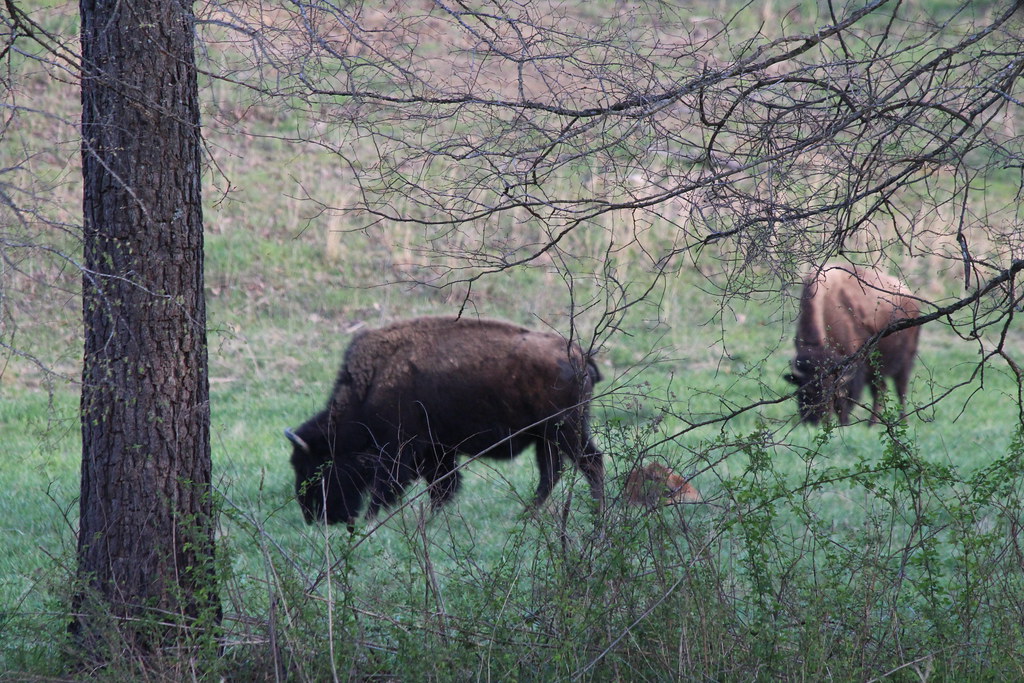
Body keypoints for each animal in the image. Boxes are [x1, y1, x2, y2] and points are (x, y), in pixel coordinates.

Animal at [285, 316, 604, 525]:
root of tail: (579, 356)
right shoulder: (436, 451)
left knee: (590, 462)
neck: (371, 385)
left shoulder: (400, 449)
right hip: (546, 437)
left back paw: (594, 513)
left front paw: (371, 520)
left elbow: (389, 486)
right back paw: (526, 515)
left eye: (313, 468)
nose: (313, 516)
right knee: (552, 472)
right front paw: (432, 519)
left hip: (564, 430)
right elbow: (443, 485)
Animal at [785, 265, 921, 425]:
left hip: (905, 360)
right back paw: (872, 424)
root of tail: (910, 298)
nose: (813, 422)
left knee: (901, 389)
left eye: (828, 392)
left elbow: (845, 400)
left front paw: (844, 423)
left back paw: (902, 421)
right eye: (804, 391)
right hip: (876, 368)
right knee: (880, 389)